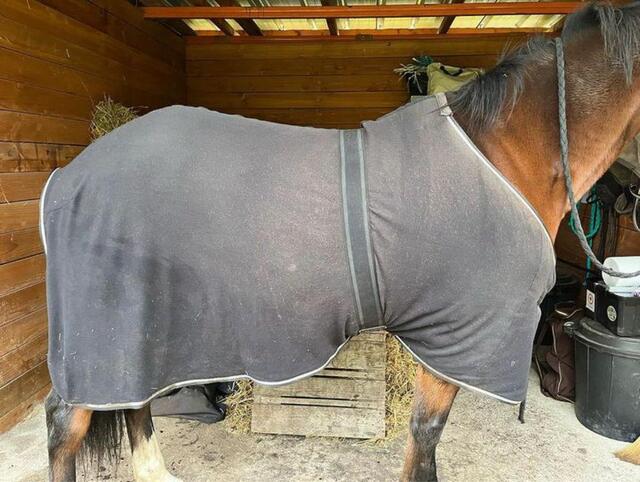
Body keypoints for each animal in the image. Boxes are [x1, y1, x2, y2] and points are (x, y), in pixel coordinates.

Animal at [42, 2, 640, 481]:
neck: (502, 154)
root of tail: (71, 175)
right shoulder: (454, 336)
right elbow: (425, 439)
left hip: (144, 333)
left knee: (131, 403)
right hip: (109, 330)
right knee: (65, 422)